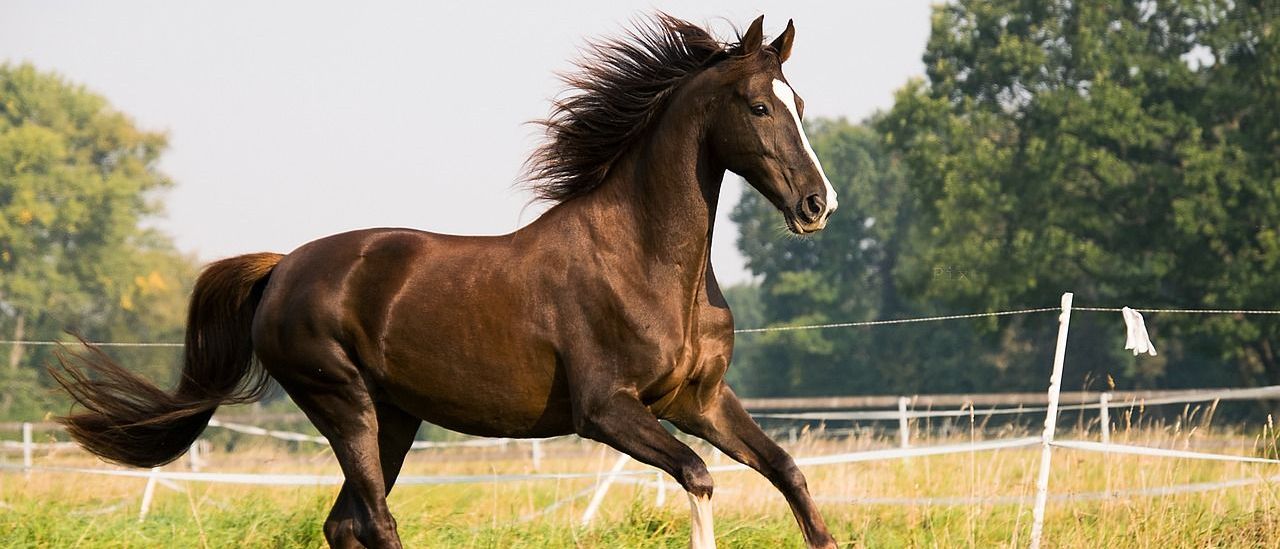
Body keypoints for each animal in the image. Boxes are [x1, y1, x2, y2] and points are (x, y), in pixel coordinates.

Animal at [52, 14, 839, 549]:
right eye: (759, 106)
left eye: (800, 105)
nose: (817, 204)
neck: (645, 262)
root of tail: (280, 270)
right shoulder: (606, 410)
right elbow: (699, 477)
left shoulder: (698, 400)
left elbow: (787, 470)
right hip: (344, 404)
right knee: (375, 520)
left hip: (394, 417)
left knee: (346, 523)